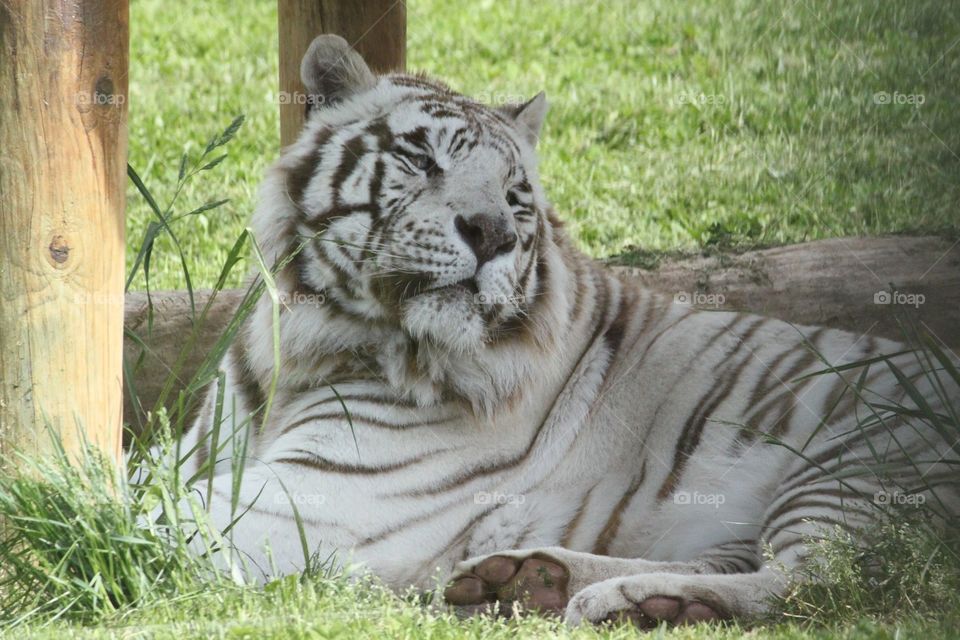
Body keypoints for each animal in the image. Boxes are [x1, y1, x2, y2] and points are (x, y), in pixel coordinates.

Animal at [172, 33, 960, 624]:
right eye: (422, 159)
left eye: (514, 195)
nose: (491, 233)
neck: (306, 348)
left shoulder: (312, 500)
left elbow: (159, 519)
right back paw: (528, 578)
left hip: (858, 463)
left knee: (824, 583)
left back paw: (638, 601)